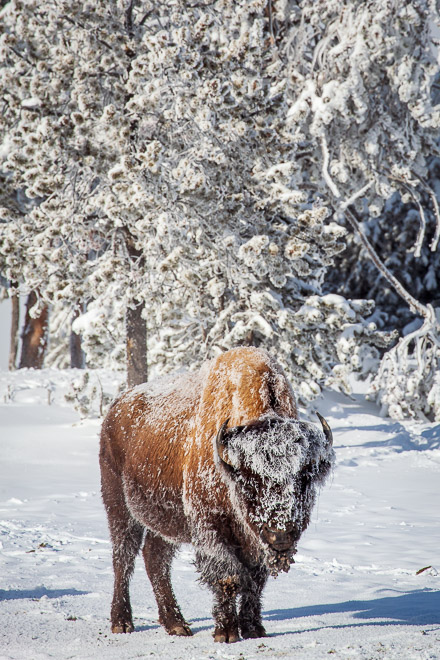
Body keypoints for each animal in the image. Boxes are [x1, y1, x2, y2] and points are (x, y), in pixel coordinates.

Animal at [99, 348, 334, 640]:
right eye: (249, 479)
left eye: (305, 477)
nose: (280, 534)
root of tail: (116, 409)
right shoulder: (212, 528)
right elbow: (228, 577)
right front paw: (227, 632)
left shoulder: (253, 541)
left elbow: (255, 582)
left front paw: (254, 629)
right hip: (118, 505)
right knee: (123, 557)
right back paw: (122, 622)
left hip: (165, 520)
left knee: (155, 560)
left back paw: (176, 624)